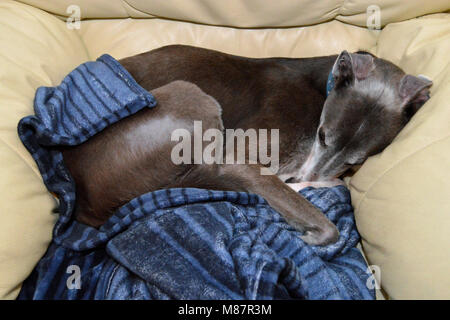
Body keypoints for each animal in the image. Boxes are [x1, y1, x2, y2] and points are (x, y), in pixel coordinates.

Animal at [60, 45, 432, 245]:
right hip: (191, 96)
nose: (304, 178)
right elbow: (328, 227)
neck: (322, 88)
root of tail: (88, 205)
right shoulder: (236, 158)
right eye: (323, 135)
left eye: (355, 162)